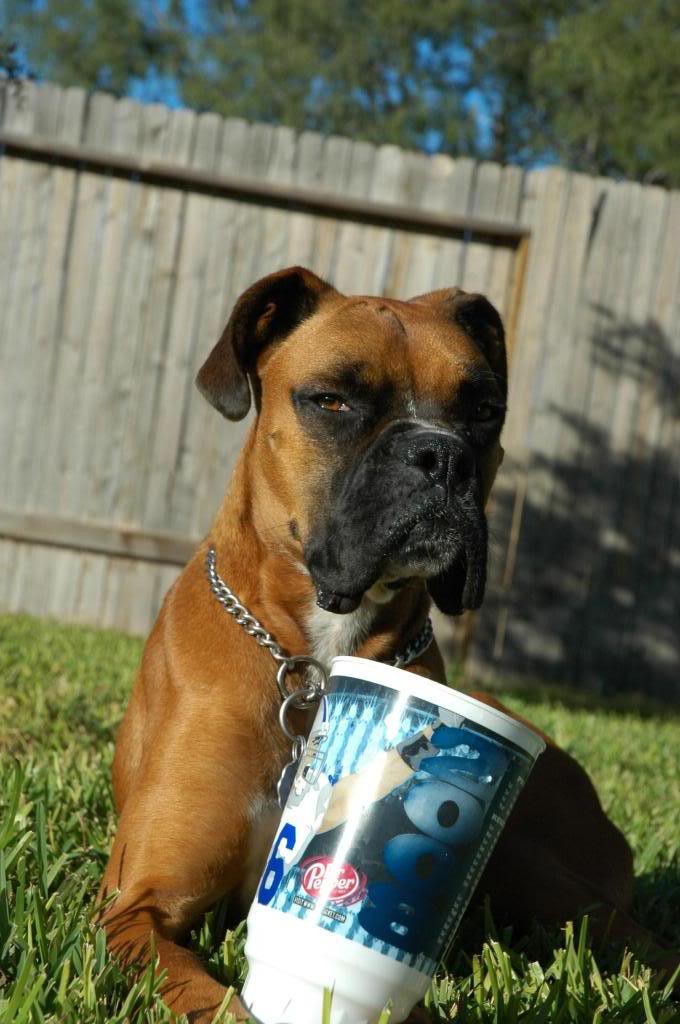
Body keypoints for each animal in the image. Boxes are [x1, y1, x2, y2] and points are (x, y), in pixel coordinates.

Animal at [100, 267, 647, 1023]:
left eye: (483, 409)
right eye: (332, 400)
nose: (441, 455)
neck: (316, 659)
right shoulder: (137, 907)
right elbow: (213, 999)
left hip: (544, 877)